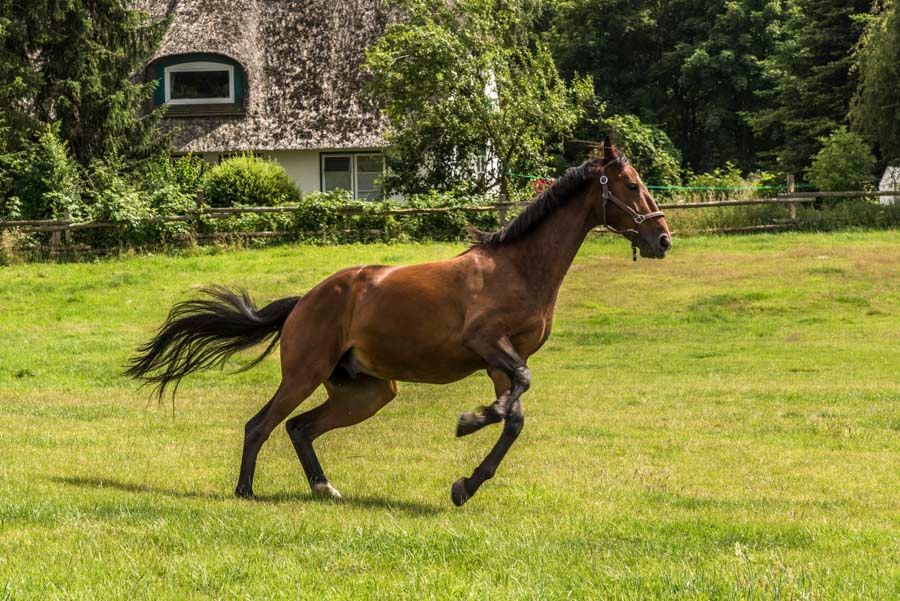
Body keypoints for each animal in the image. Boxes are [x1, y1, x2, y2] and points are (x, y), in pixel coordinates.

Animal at [130, 138, 672, 504]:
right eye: (632, 185)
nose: (662, 239)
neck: (518, 268)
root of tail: (306, 300)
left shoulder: (499, 360)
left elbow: (515, 417)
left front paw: (465, 483)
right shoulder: (488, 343)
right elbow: (518, 391)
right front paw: (469, 421)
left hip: (367, 392)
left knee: (300, 429)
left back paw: (324, 487)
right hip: (304, 374)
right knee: (260, 424)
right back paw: (245, 490)